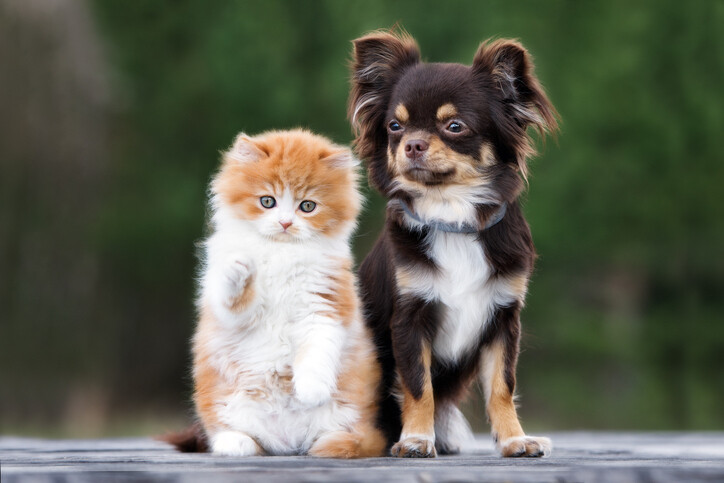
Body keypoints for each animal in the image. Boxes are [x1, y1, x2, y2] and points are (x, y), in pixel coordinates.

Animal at [191, 129, 384, 458]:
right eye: (267, 201)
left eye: (307, 206)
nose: (285, 222)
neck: (281, 253)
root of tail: (287, 443)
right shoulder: (230, 311)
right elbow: (233, 299)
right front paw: (239, 270)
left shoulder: (325, 302)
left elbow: (317, 350)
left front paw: (311, 390)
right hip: (228, 403)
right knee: (242, 437)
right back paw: (236, 442)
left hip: (346, 415)